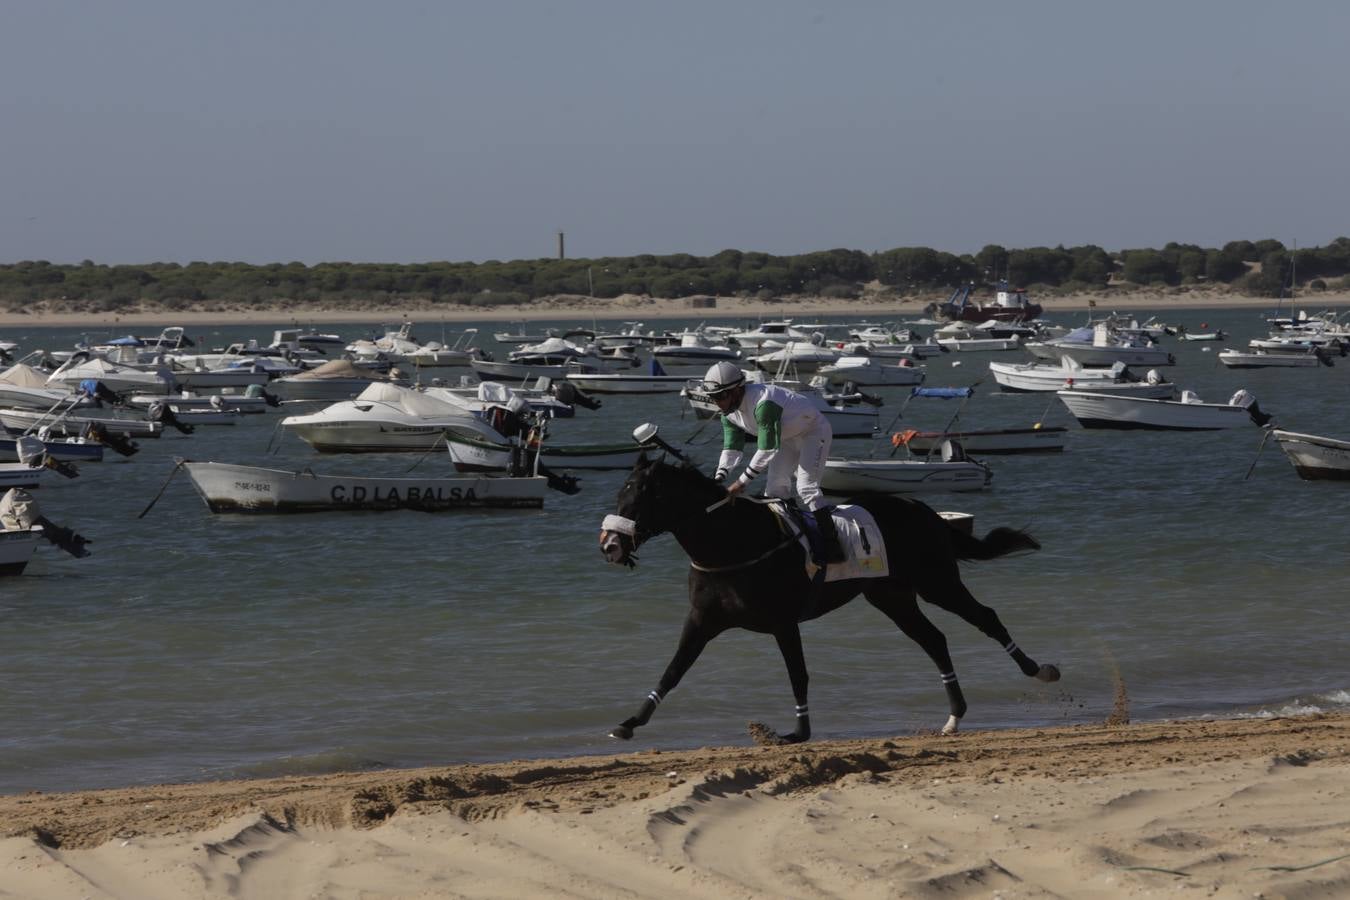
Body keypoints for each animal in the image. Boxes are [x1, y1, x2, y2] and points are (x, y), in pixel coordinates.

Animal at [599, 453, 1053, 744]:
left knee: (986, 617)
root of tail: (923, 509)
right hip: (891, 597)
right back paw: (953, 717)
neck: (734, 544)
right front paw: (630, 722)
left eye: (640, 497)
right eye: (619, 493)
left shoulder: (783, 622)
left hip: (937, 581)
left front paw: (798, 732)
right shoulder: (702, 621)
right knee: (934, 640)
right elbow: (673, 671)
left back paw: (1039, 669)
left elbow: (797, 674)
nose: (610, 546)